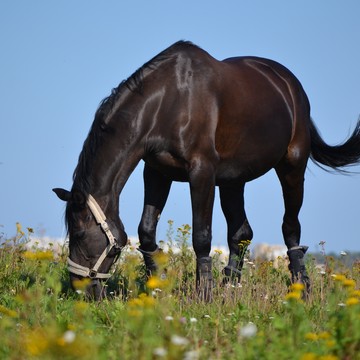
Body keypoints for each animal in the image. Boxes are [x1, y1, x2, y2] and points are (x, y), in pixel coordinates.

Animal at [52, 40, 360, 300]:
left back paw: (302, 289)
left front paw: (204, 295)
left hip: (292, 167)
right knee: (241, 233)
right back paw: (231, 289)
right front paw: (158, 287)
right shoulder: (156, 172)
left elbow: (201, 236)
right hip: (234, 180)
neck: (168, 102)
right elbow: (146, 231)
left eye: (79, 235)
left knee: (290, 227)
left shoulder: (201, 172)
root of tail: (289, 84)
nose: (80, 288)